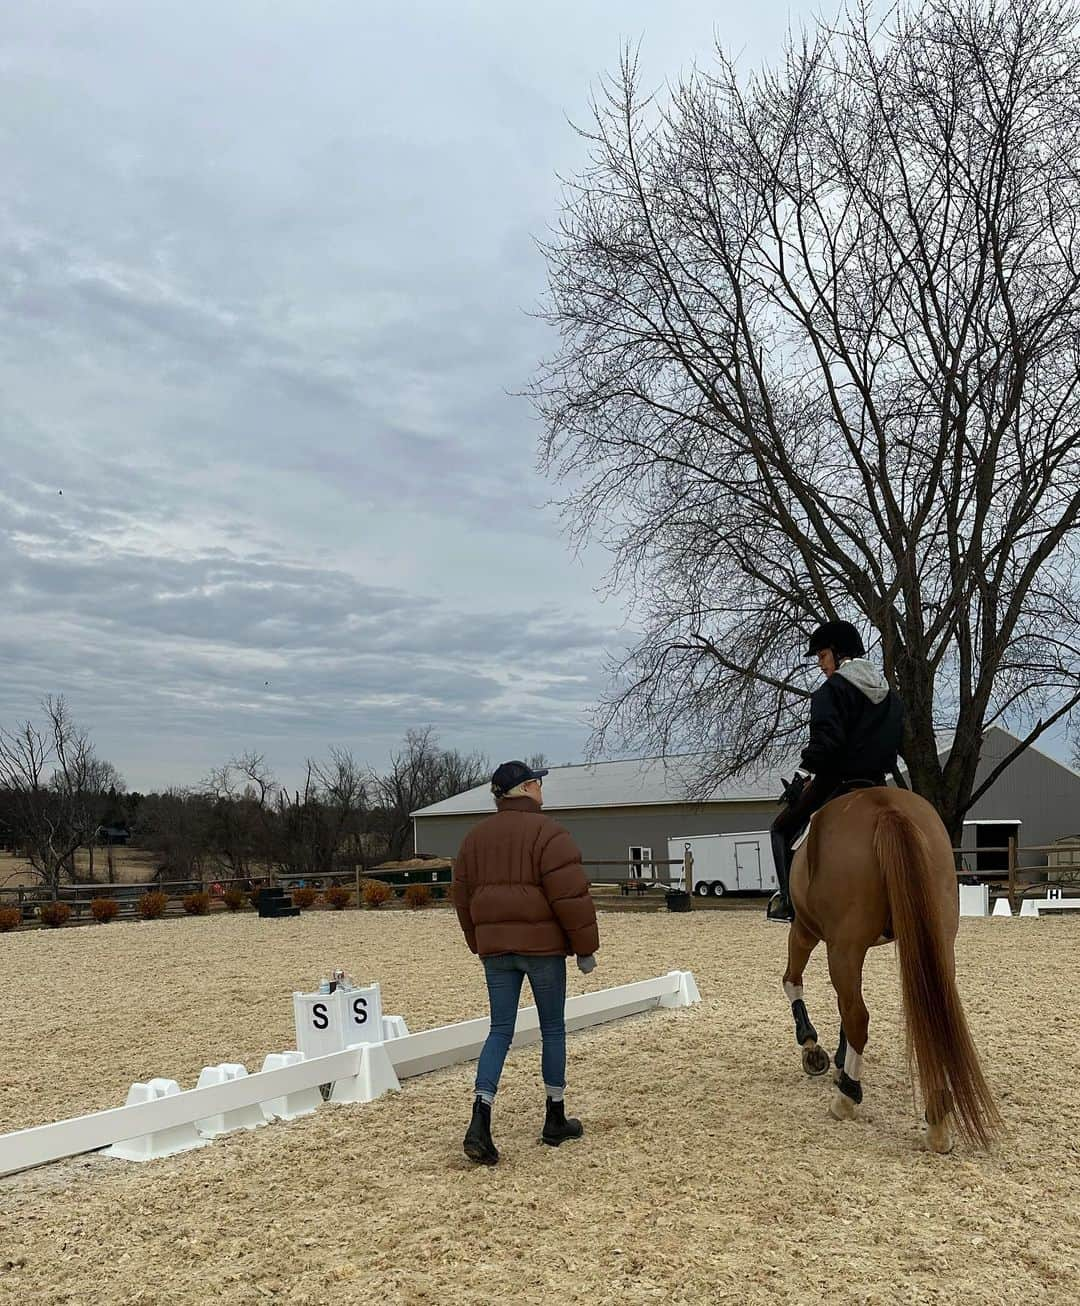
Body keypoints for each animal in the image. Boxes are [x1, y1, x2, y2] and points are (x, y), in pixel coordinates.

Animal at [783, 778, 1002, 1149]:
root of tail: (886, 808)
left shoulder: (805, 930)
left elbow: (793, 982)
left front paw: (813, 1051)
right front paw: (838, 1061)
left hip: (842, 946)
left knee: (857, 1015)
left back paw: (847, 1098)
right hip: (937, 940)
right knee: (931, 1010)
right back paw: (938, 1120)